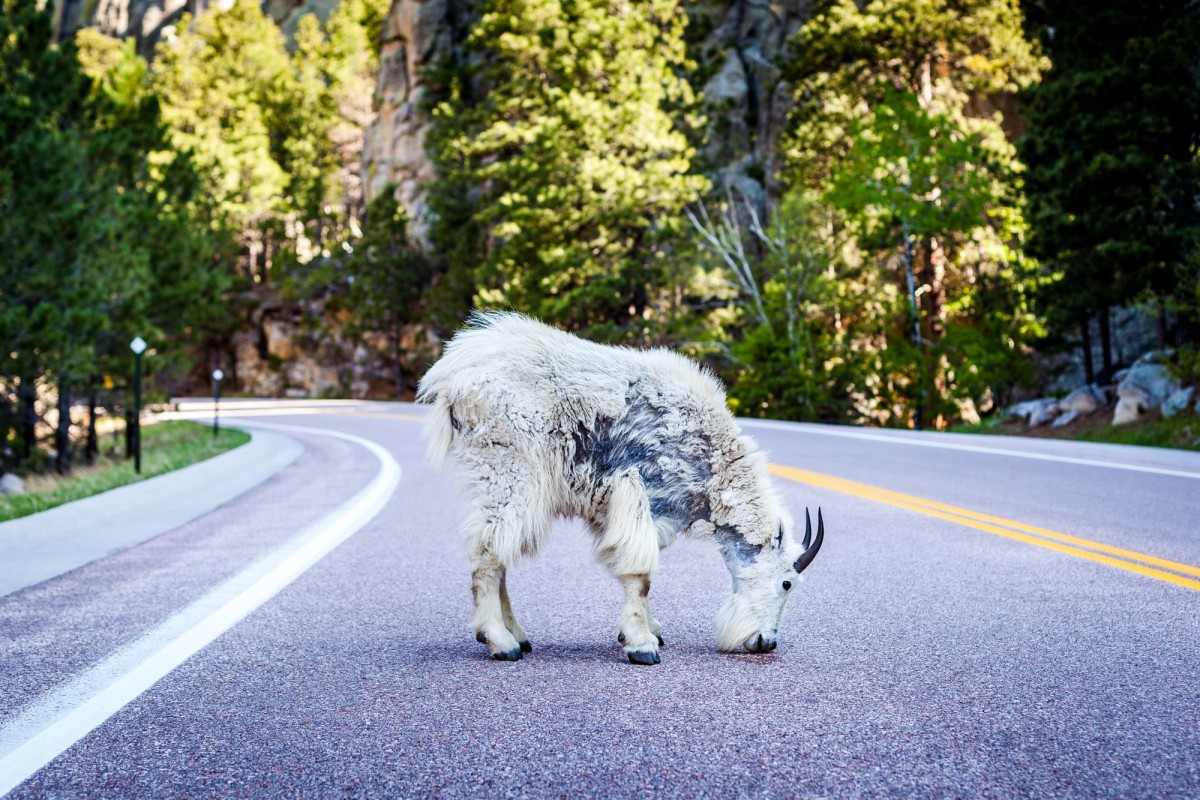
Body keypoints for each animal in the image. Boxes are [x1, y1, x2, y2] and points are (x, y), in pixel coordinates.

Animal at [417, 311, 820, 662]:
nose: (766, 642)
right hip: (511, 474)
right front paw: (642, 645)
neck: (713, 467)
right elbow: (640, 575)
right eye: (787, 583)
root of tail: (452, 376)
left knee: (500, 551)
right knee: (487, 553)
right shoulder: (639, 498)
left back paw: (516, 634)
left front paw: (647, 630)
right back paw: (500, 642)